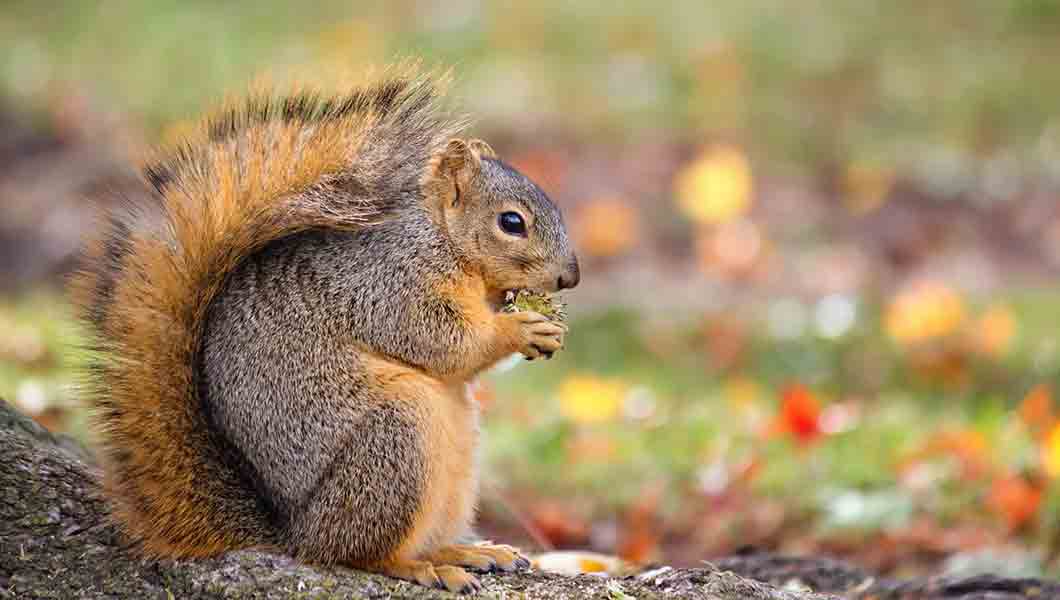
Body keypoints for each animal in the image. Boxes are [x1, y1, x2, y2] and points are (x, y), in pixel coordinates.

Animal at [71, 65, 580, 594]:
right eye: (512, 222)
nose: (570, 277)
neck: (442, 238)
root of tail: (294, 535)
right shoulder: (388, 284)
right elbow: (439, 339)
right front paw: (521, 329)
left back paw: (465, 550)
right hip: (397, 439)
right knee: (359, 553)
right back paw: (424, 566)